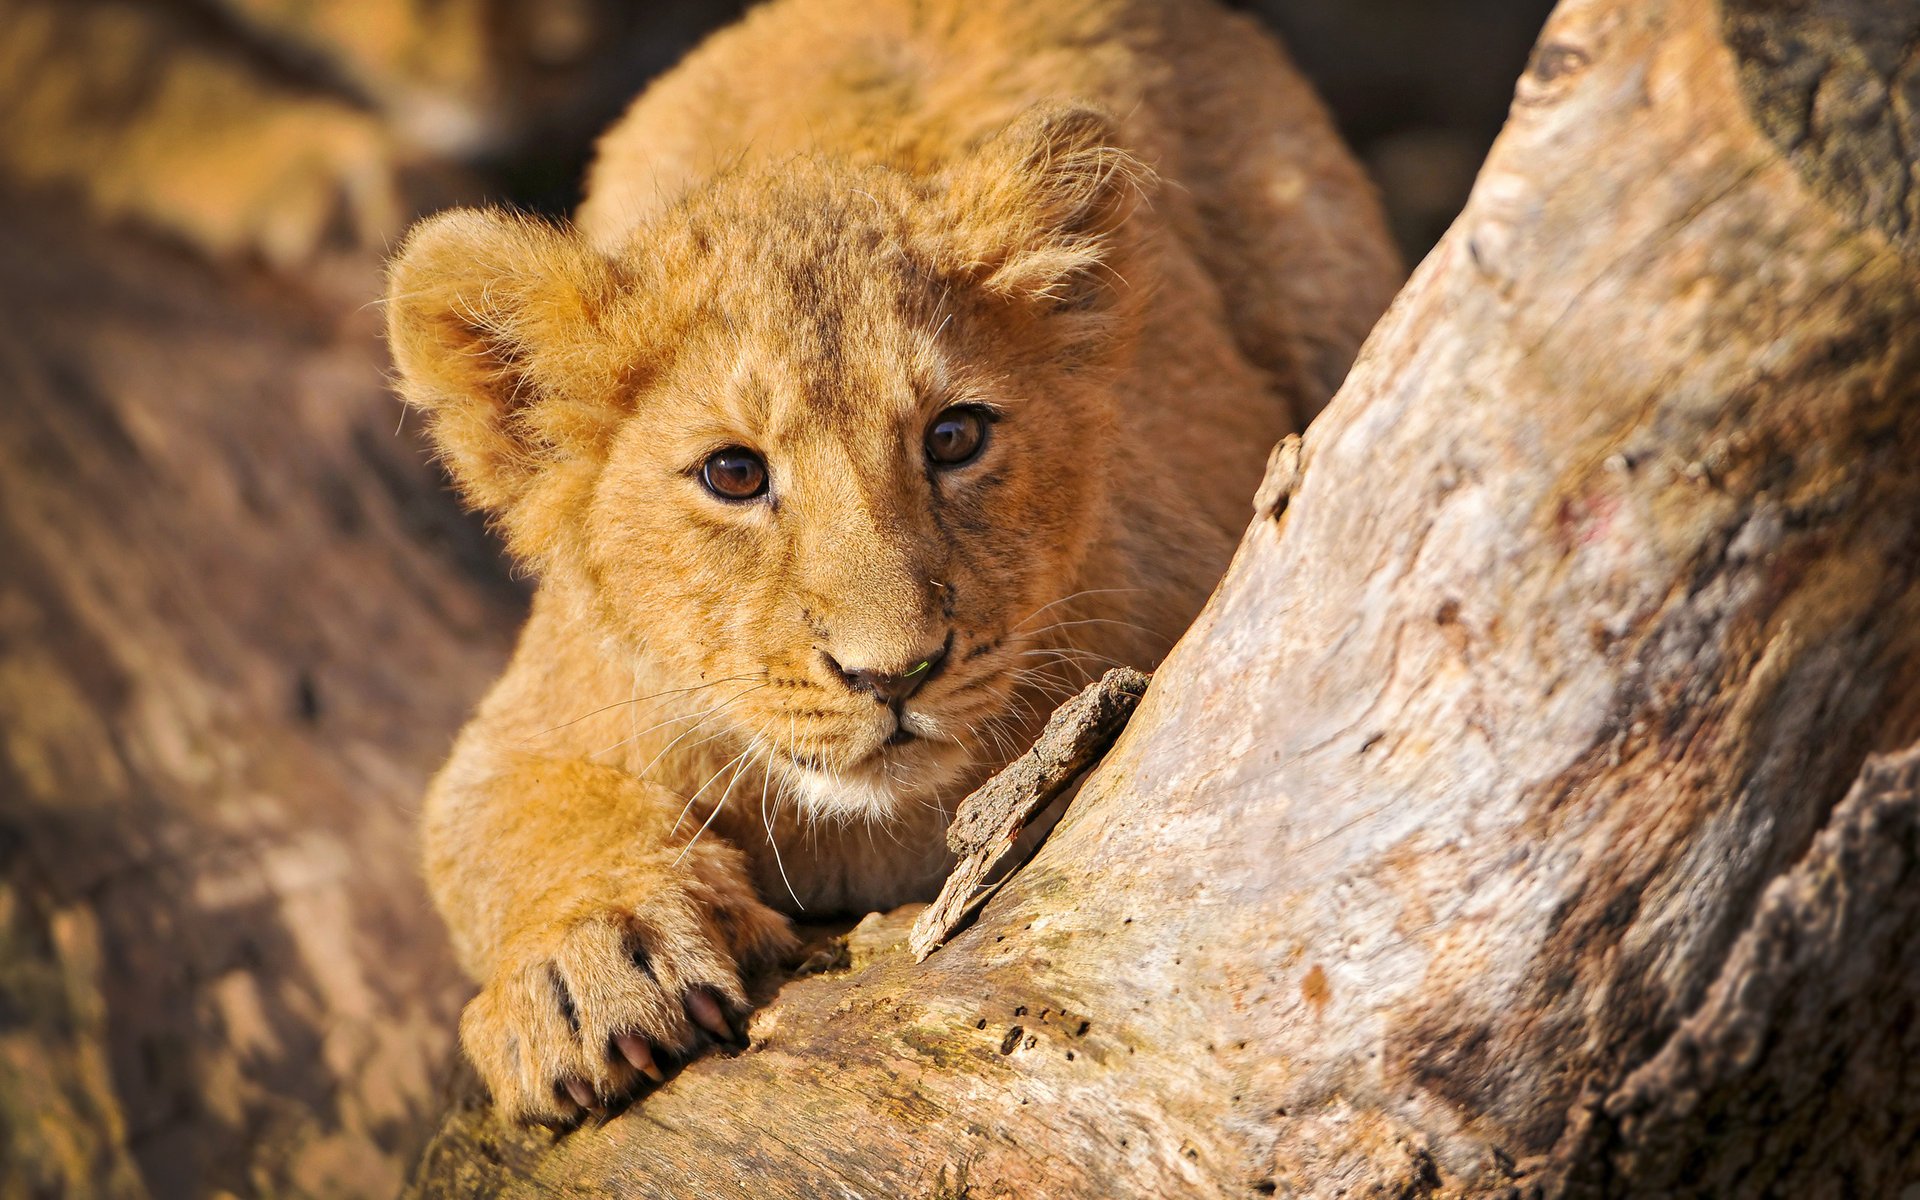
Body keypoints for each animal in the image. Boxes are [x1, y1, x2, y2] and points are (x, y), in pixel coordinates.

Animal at [385, 0, 1398, 1125]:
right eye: (734, 472)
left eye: (954, 438)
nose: (894, 675)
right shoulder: (537, 713)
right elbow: (512, 822)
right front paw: (592, 965)